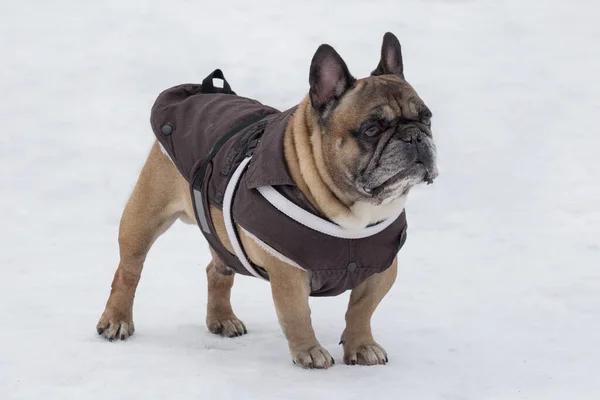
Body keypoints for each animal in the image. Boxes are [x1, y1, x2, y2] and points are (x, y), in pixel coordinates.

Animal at [97, 31, 436, 368]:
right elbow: (297, 315)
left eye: (427, 118)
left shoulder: (381, 269)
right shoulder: (288, 272)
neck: (351, 211)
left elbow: (362, 310)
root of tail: (204, 90)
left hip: (222, 238)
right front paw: (309, 351)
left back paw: (222, 319)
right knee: (128, 271)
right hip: (143, 219)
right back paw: (116, 320)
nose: (414, 136)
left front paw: (362, 345)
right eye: (371, 129)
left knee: (217, 271)